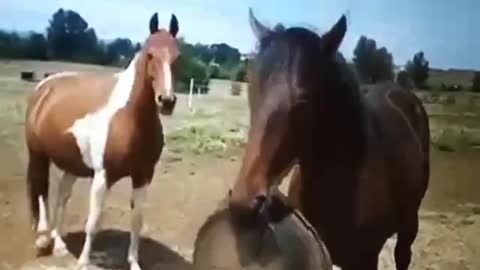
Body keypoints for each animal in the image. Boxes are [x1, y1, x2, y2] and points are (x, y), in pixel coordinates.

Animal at [23, 12, 180, 270]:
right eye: (150, 54)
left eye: (177, 57)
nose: (166, 101)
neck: (129, 117)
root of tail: (44, 87)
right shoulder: (102, 176)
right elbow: (93, 222)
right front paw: (83, 262)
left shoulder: (143, 176)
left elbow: (136, 221)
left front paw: (134, 263)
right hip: (38, 155)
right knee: (41, 191)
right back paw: (43, 238)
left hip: (72, 163)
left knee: (62, 196)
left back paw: (59, 243)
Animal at [230, 8, 432, 270]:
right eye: (252, 87)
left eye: (305, 98)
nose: (243, 205)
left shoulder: (366, 259)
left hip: (409, 224)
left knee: (403, 255)